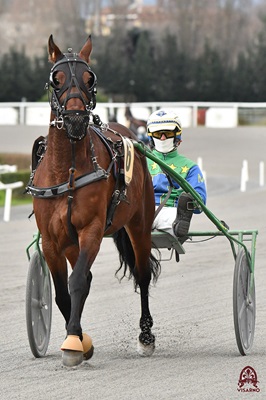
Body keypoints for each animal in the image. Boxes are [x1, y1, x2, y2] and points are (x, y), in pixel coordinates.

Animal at [27, 36, 160, 368]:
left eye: (90, 78)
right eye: (57, 78)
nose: (76, 119)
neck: (67, 171)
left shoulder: (92, 229)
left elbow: (76, 282)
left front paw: (74, 343)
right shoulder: (51, 239)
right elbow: (63, 292)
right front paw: (79, 338)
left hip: (139, 223)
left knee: (142, 274)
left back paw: (146, 336)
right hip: (71, 242)